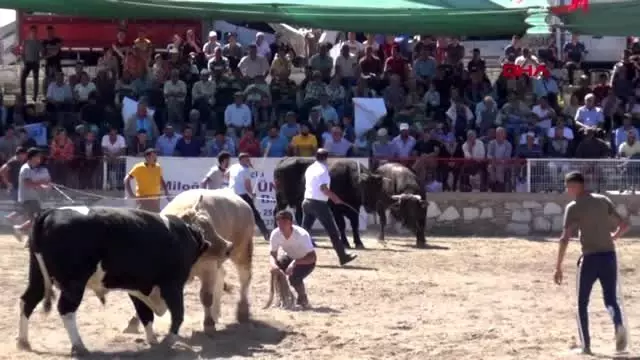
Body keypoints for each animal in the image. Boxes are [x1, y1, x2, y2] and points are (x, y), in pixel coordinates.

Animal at [18, 201, 225, 356]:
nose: (225, 246)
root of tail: (50, 212)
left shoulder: (137, 288)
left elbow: (145, 314)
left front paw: (153, 340)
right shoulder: (172, 285)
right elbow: (178, 313)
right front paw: (169, 340)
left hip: (37, 276)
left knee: (28, 300)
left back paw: (23, 341)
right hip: (74, 284)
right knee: (66, 309)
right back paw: (79, 346)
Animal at [124, 190, 254, 336]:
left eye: (211, 225)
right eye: (201, 232)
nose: (228, 247)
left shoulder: (208, 269)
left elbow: (206, 296)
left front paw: (208, 324)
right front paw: (133, 322)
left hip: (242, 250)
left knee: (244, 278)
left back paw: (242, 311)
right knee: (221, 277)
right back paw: (216, 313)